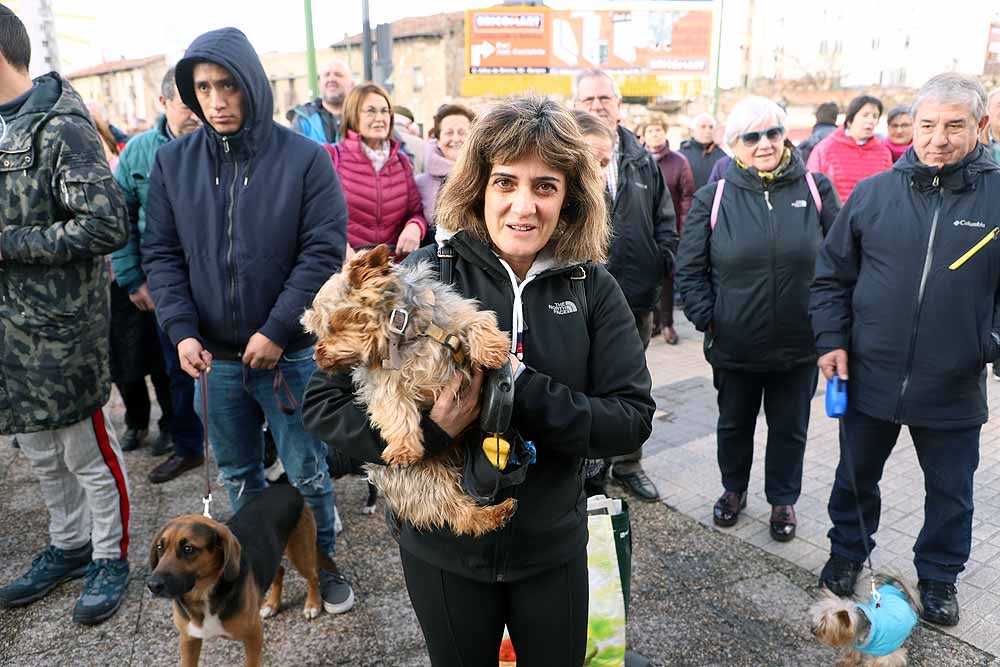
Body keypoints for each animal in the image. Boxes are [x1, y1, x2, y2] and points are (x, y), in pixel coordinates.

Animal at [146, 486, 338, 667]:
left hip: (301, 553)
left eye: (188, 549)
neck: (203, 593)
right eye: (160, 547)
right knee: (281, 570)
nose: (152, 585)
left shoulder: (254, 635)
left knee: (313, 575)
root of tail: (289, 487)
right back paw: (271, 604)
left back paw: (312, 604)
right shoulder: (188, 639)